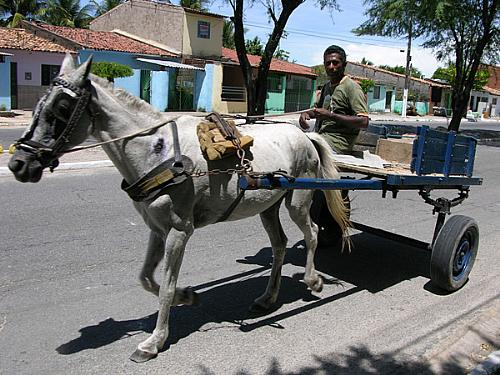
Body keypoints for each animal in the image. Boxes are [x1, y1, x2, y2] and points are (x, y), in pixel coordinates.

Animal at [9, 54, 350, 362]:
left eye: (62, 108)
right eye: (38, 105)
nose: (18, 163)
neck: (158, 152)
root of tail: (304, 134)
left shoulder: (179, 231)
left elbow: (165, 286)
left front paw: (154, 341)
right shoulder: (157, 229)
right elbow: (146, 278)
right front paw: (186, 296)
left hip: (298, 201)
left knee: (312, 233)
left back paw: (313, 280)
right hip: (268, 205)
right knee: (279, 245)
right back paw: (268, 298)